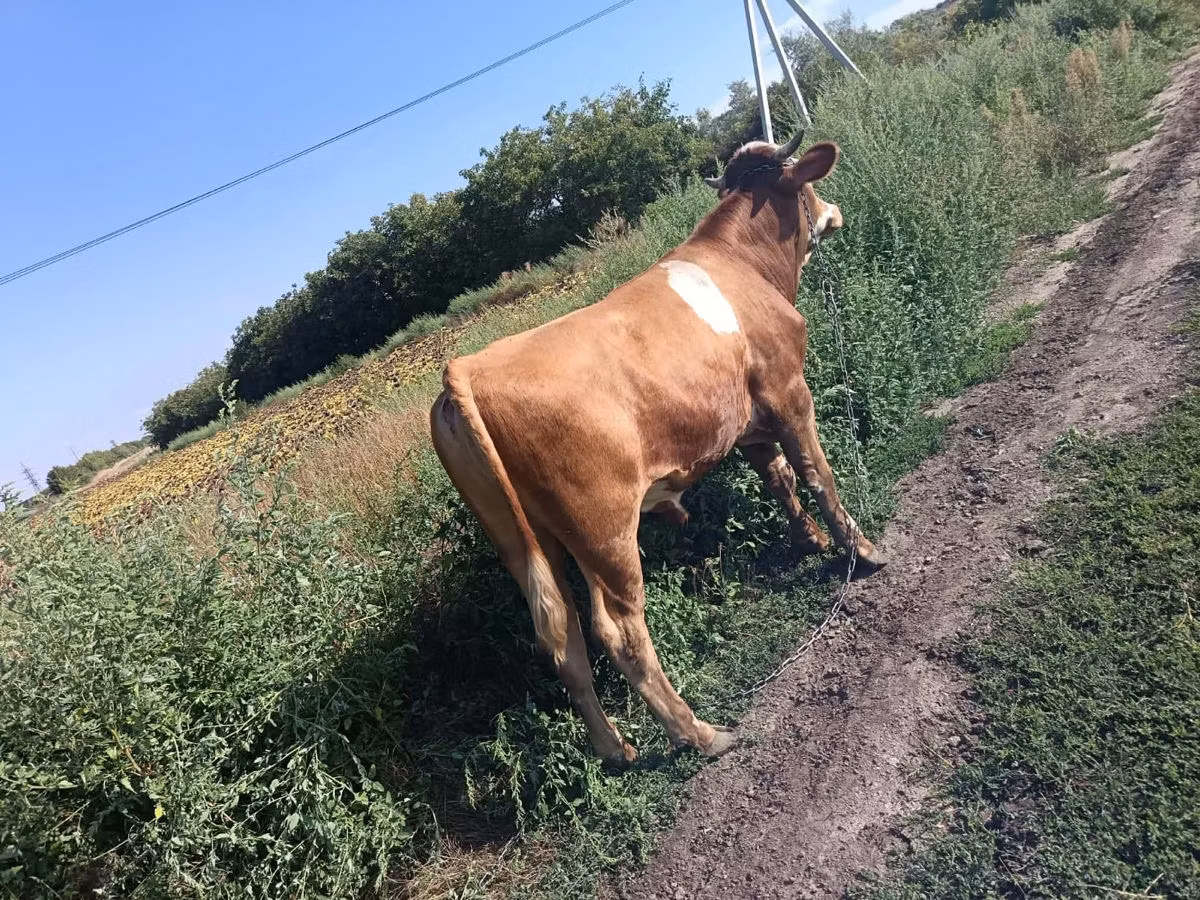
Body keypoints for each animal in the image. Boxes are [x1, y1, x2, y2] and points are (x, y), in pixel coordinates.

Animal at [429, 133, 887, 766]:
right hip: (604, 527)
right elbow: (817, 474)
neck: (742, 264)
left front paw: (809, 541)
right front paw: (862, 552)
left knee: (562, 637)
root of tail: (467, 367)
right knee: (618, 632)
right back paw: (700, 735)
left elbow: (778, 479)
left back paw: (615, 749)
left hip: (523, 539)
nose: (833, 213)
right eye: (807, 183)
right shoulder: (790, 391)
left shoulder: (743, 421)